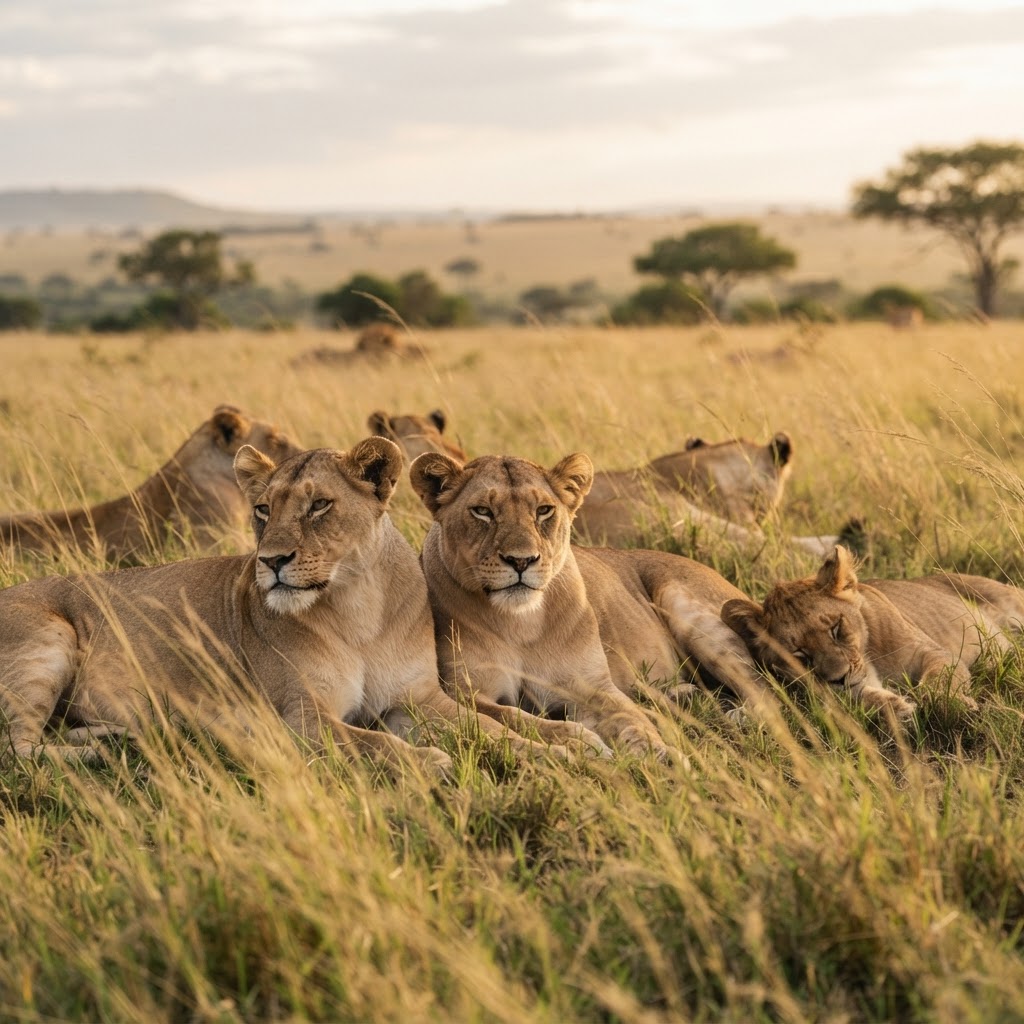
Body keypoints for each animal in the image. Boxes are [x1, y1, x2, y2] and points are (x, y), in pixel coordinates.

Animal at [0, 436, 602, 774]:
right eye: (263, 509)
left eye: (319, 506)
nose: (271, 561)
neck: (358, 608)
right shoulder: (304, 718)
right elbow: (376, 744)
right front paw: (430, 760)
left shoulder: (418, 700)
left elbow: (495, 728)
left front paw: (561, 750)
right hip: (48, 639)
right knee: (17, 751)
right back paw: (105, 753)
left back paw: (117, 735)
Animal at [410, 449, 777, 757]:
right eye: (482, 511)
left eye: (543, 510)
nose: (521, 560)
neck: (521, 623)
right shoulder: (467, 693)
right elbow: (517, 718)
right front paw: (581, 741)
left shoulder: (592, 686)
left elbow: (631, 719)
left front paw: (662, 757)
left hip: (684, 603)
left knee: (766, 691)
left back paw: (739, 715)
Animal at [721, 545, 1024, 718]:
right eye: (799, 654)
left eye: (836, 628)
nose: (840, 678)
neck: (872, 660)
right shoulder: (817, 695)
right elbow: (854, 699)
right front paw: (898, 707)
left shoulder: (935, 653)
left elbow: (936, 683)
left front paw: (956, 705)